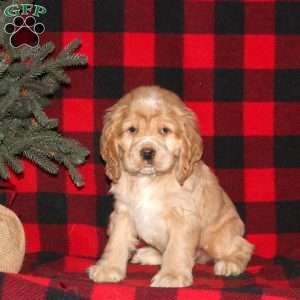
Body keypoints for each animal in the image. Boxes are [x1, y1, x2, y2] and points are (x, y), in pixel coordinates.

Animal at [88, 85, 254, 288]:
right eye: (132, 129)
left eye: (164, 130)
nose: (147, 152)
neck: (150, 179)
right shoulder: (124, 212)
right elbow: (116, 242)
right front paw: (108, 269)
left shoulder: (183, 217)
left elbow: (176, 248)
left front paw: (172, 276)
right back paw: (149, 254)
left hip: (215, 237)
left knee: (243, 246)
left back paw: (229, 263)